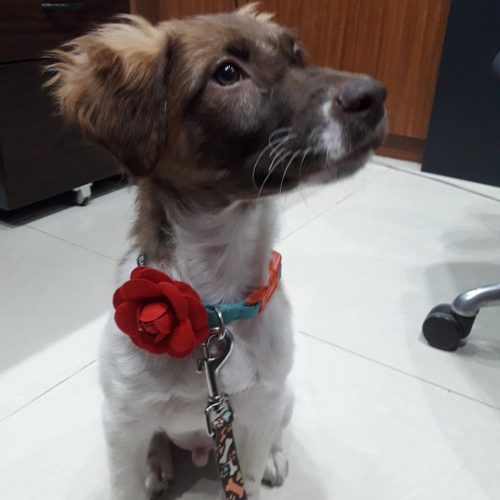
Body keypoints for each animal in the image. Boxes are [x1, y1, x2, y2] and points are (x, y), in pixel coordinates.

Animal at [47, 5, 386, 499]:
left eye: (298, 57)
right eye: (227, 73)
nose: (375, 96)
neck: (213, 308)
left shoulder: (258, 412)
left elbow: (254, 471)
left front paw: (266, 467)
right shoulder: (122, 422)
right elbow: (125, 481)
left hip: (282, 398)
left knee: (279, 432)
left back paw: (274, 459)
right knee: (158, 442)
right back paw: (158, 466)